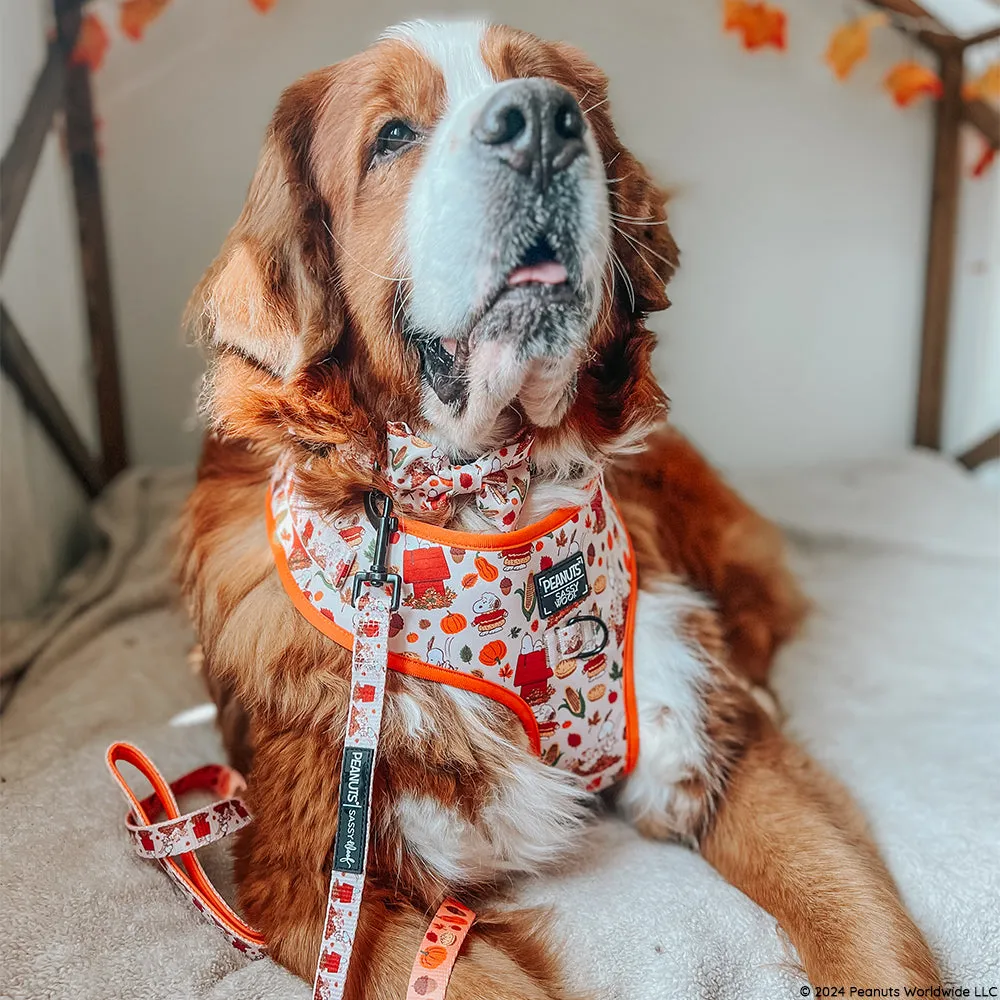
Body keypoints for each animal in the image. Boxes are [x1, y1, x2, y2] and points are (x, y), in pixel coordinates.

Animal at [178, 19, 936, 996]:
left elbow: (852, 919)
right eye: (392, 136)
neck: (493, 504)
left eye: (555, 93)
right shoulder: (319, 887)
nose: (541, 121)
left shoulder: (711, 755)